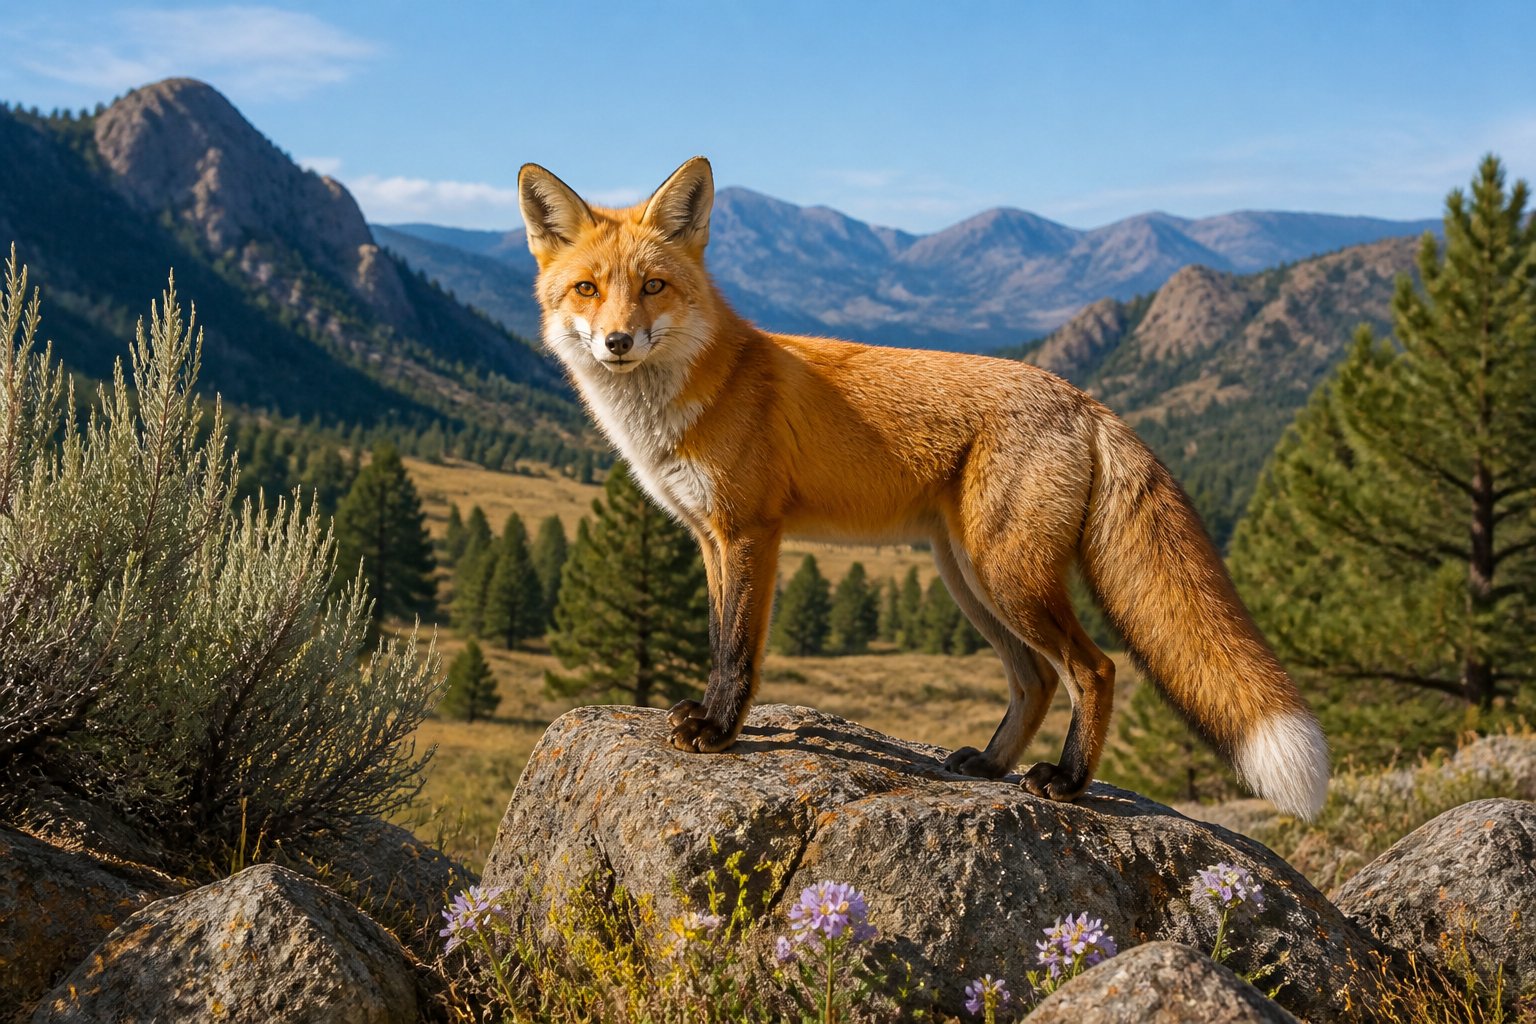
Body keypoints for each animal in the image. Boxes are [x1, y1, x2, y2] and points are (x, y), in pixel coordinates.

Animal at [516, 156, 1330, 819]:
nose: (618, 341)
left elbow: (737, 651)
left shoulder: (751, 531)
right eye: (587, 289)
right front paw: (714, 721)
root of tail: (1082, 399)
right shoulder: (710, 537)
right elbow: (720, 637)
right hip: (967, 577)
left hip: (1008, 577)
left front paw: (718, 731)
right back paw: (991, 766)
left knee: (1094, 669)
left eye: (653, 286)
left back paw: (1066, 783)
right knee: (1036, 679)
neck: (693, 395)